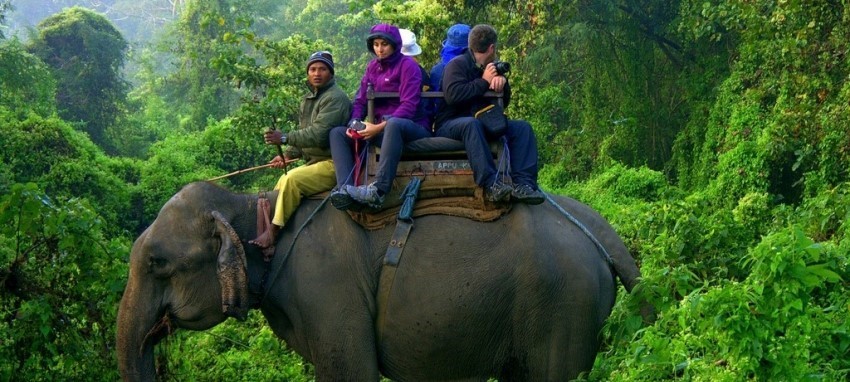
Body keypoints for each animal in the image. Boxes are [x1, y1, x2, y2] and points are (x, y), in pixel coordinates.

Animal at [116, 181, 640, 380]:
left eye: (157, 262)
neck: (253, 204)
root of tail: (601, 230)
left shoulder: (326, 288)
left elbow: (352, 372)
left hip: (563, 305)